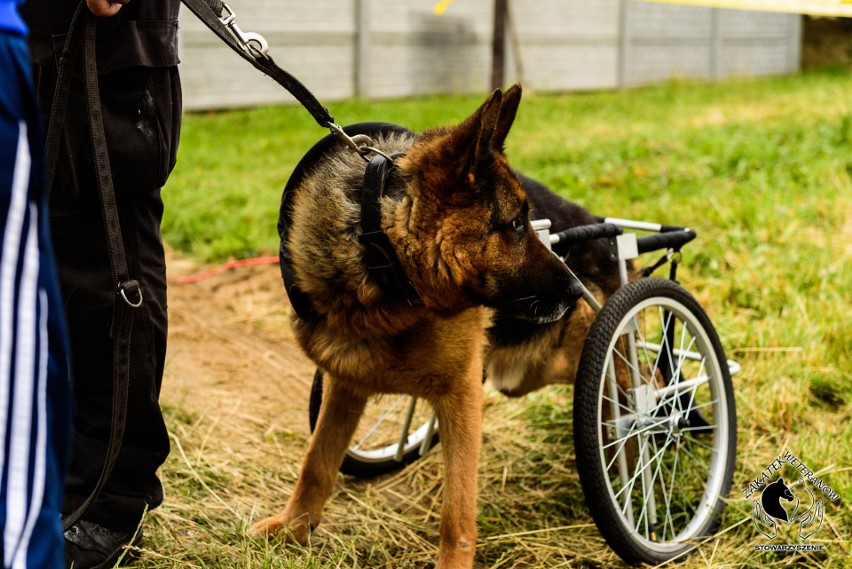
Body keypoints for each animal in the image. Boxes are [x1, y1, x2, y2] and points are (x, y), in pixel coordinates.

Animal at [251, 85, 604, 568]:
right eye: (515, 224)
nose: (577, 289)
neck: (382, 265)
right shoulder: (345, 382)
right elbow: (317, 461)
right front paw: (294, 528)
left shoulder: (460, 394)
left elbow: (456, 511)